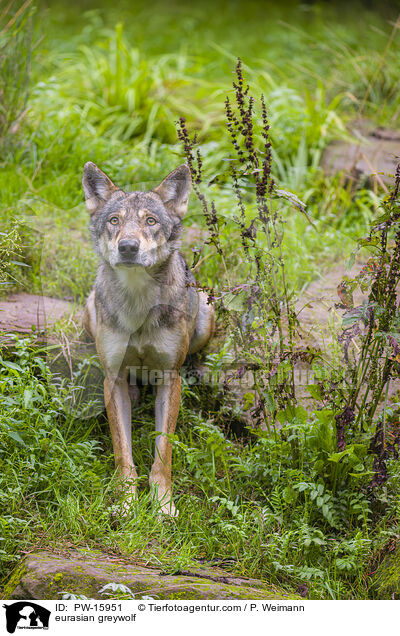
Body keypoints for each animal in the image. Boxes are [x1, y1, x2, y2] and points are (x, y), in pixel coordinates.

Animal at [81, 161, 216, 516]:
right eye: (114, 221)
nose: (128, 247)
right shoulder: (113, 379)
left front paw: (163, 505)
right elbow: (122, 452)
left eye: (150, 221)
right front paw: (125, 504)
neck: (138, 303)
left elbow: (163, 452)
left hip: (206, 315)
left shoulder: (169, 378)